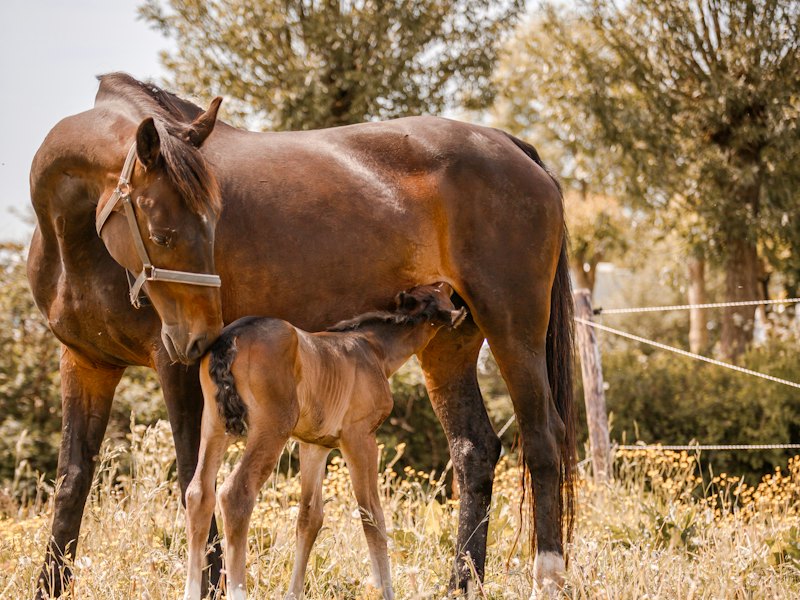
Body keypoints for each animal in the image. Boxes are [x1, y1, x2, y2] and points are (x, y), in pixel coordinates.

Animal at [184, 283, 467, 600]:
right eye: (439, 291)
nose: (450, 285)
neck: (375, 350)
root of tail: (230, 338)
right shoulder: (360, 437)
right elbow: (372, 514)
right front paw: (385, 591)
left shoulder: (314, 445)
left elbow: (310, 517)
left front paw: (293, 594)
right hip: (271, 428)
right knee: (236, 494)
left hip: (214, 426)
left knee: (198, 494)